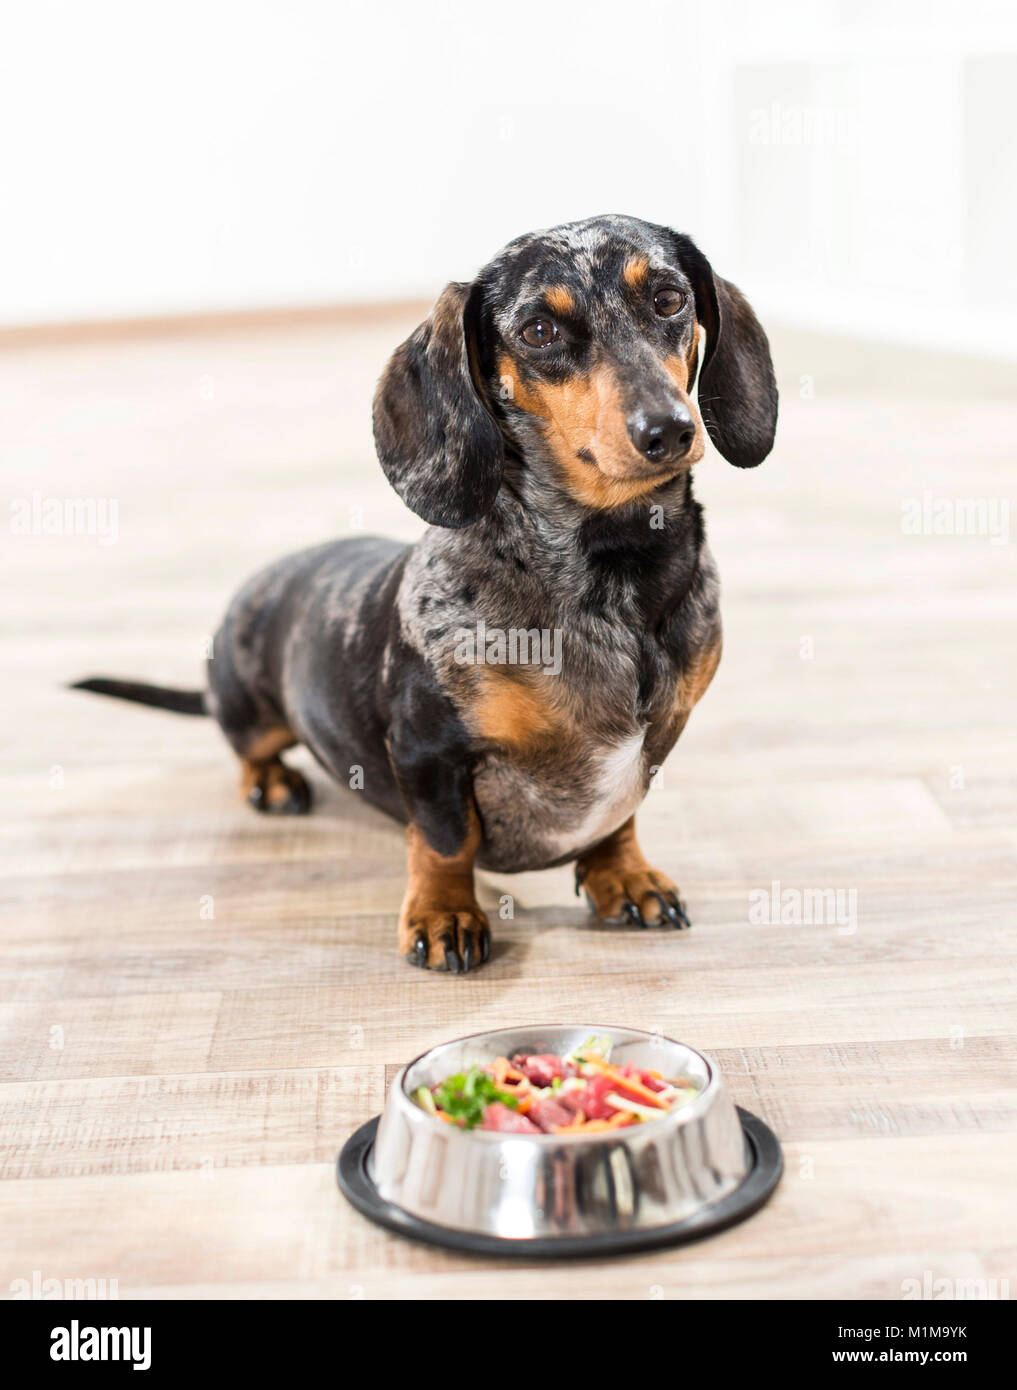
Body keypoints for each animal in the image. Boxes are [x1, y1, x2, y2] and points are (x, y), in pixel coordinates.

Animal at [75, 214, 778, 978]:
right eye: (538, 331)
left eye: (668, 298)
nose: (669, 430)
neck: (610, 575)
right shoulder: (426, 747)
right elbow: (445, 841)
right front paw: (444, 914)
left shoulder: (660, 735)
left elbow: (620, 818)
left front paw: (621, 874)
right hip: (250, 709)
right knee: (250, 748)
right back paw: (271, 782)